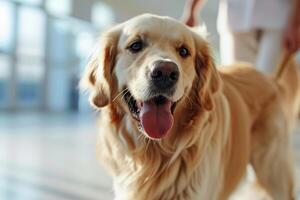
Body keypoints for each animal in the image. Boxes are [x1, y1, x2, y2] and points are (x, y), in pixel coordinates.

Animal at [80, 14, 300, 200]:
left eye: (184, 51)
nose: (165, 72)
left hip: (273, 171)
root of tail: (271, 80)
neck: (156, 155)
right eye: (135, 45)